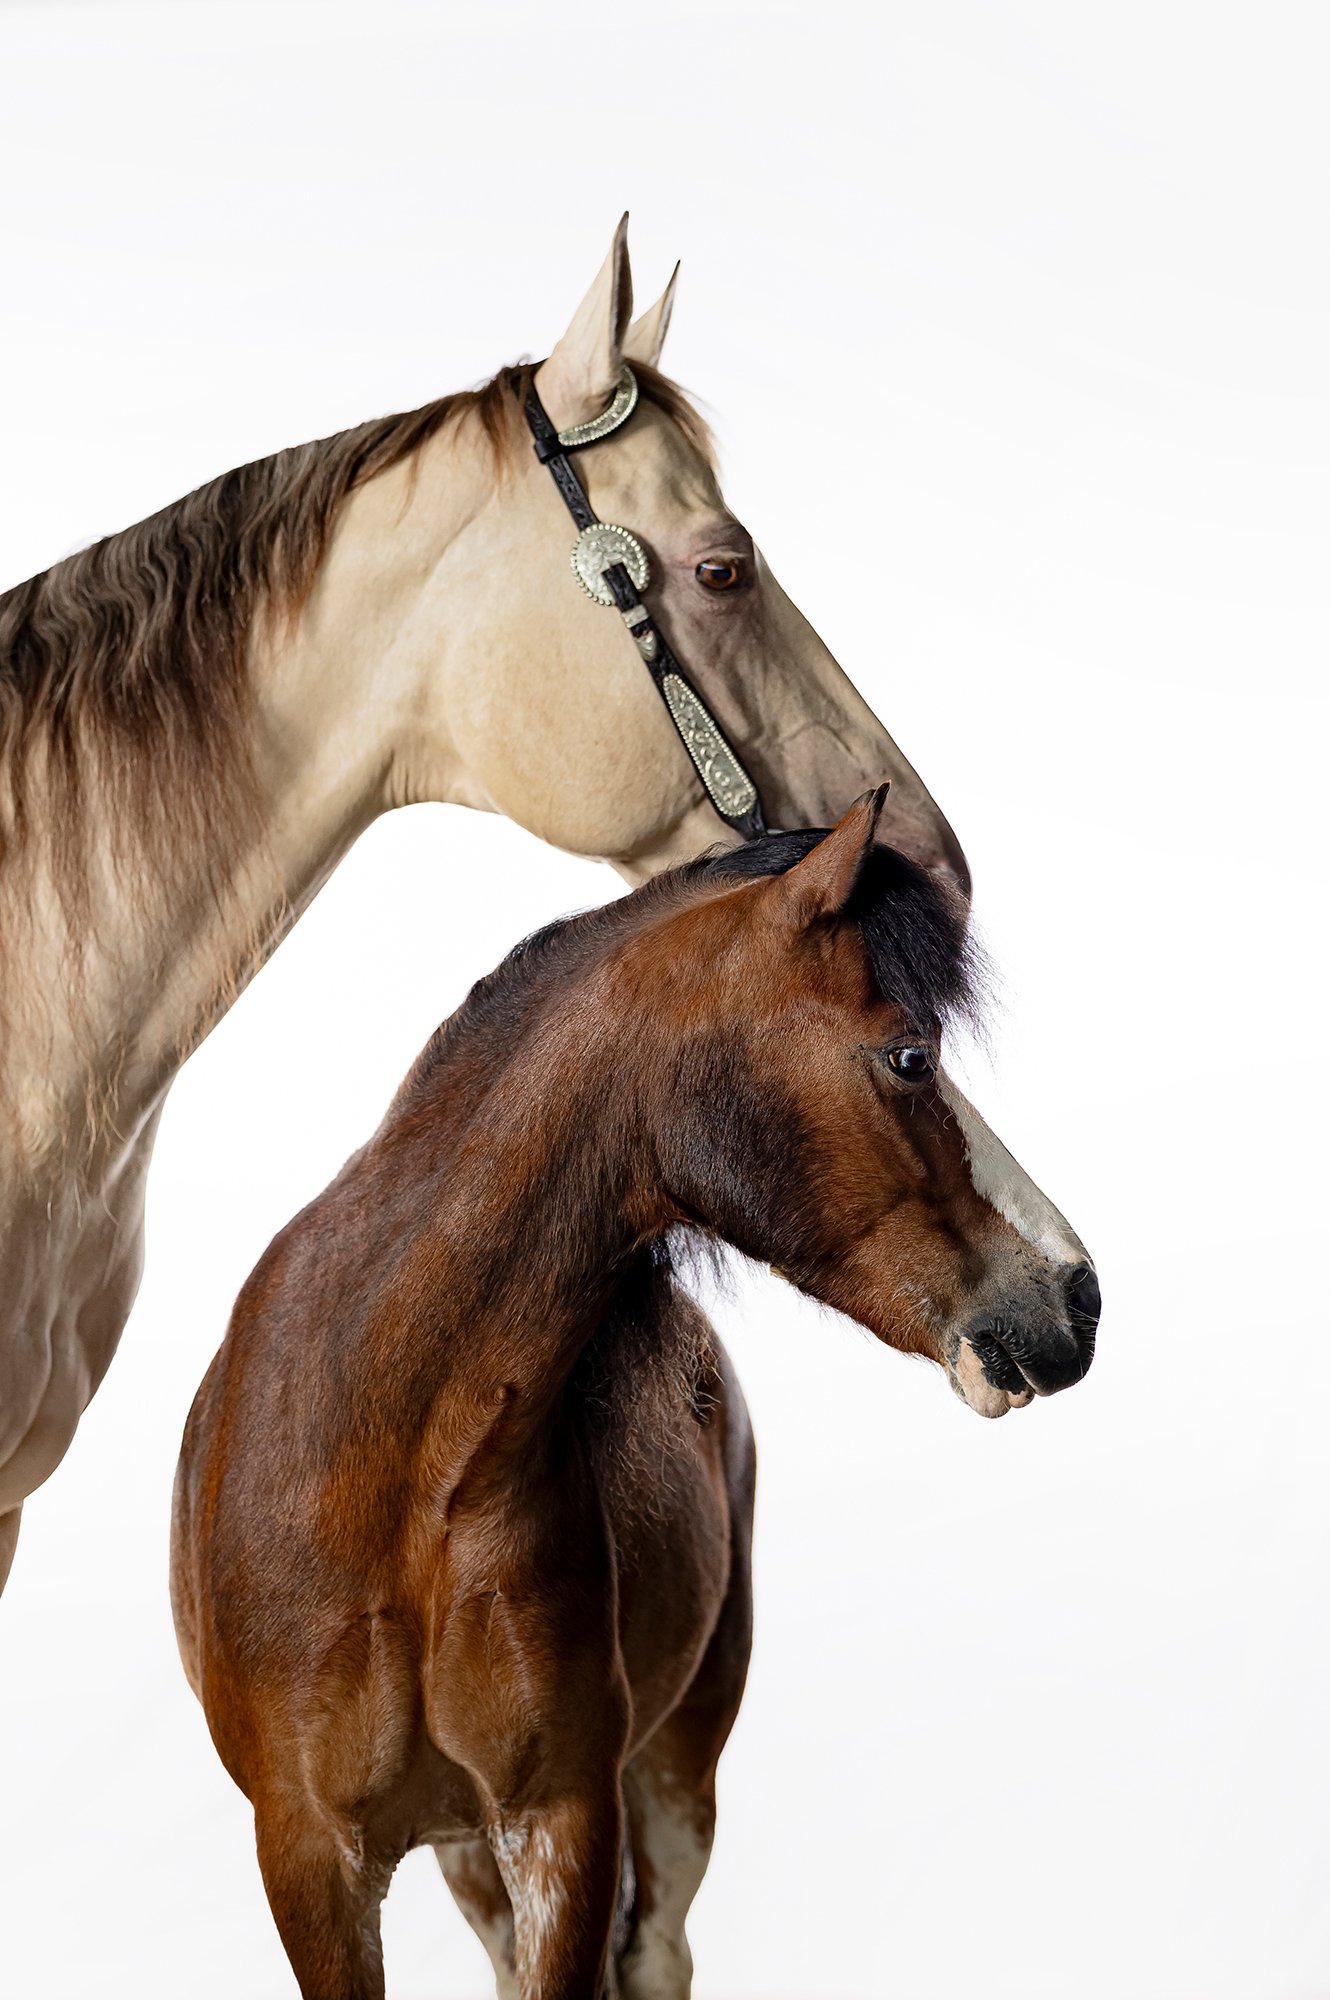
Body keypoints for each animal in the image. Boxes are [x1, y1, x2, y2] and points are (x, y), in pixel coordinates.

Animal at [171, 789, 1098, 2000]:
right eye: (909, 1054)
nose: (1078, 1296)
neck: (393, 1465)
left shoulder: (565, 1816)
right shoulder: (313, 1856)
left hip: (672, 1770)